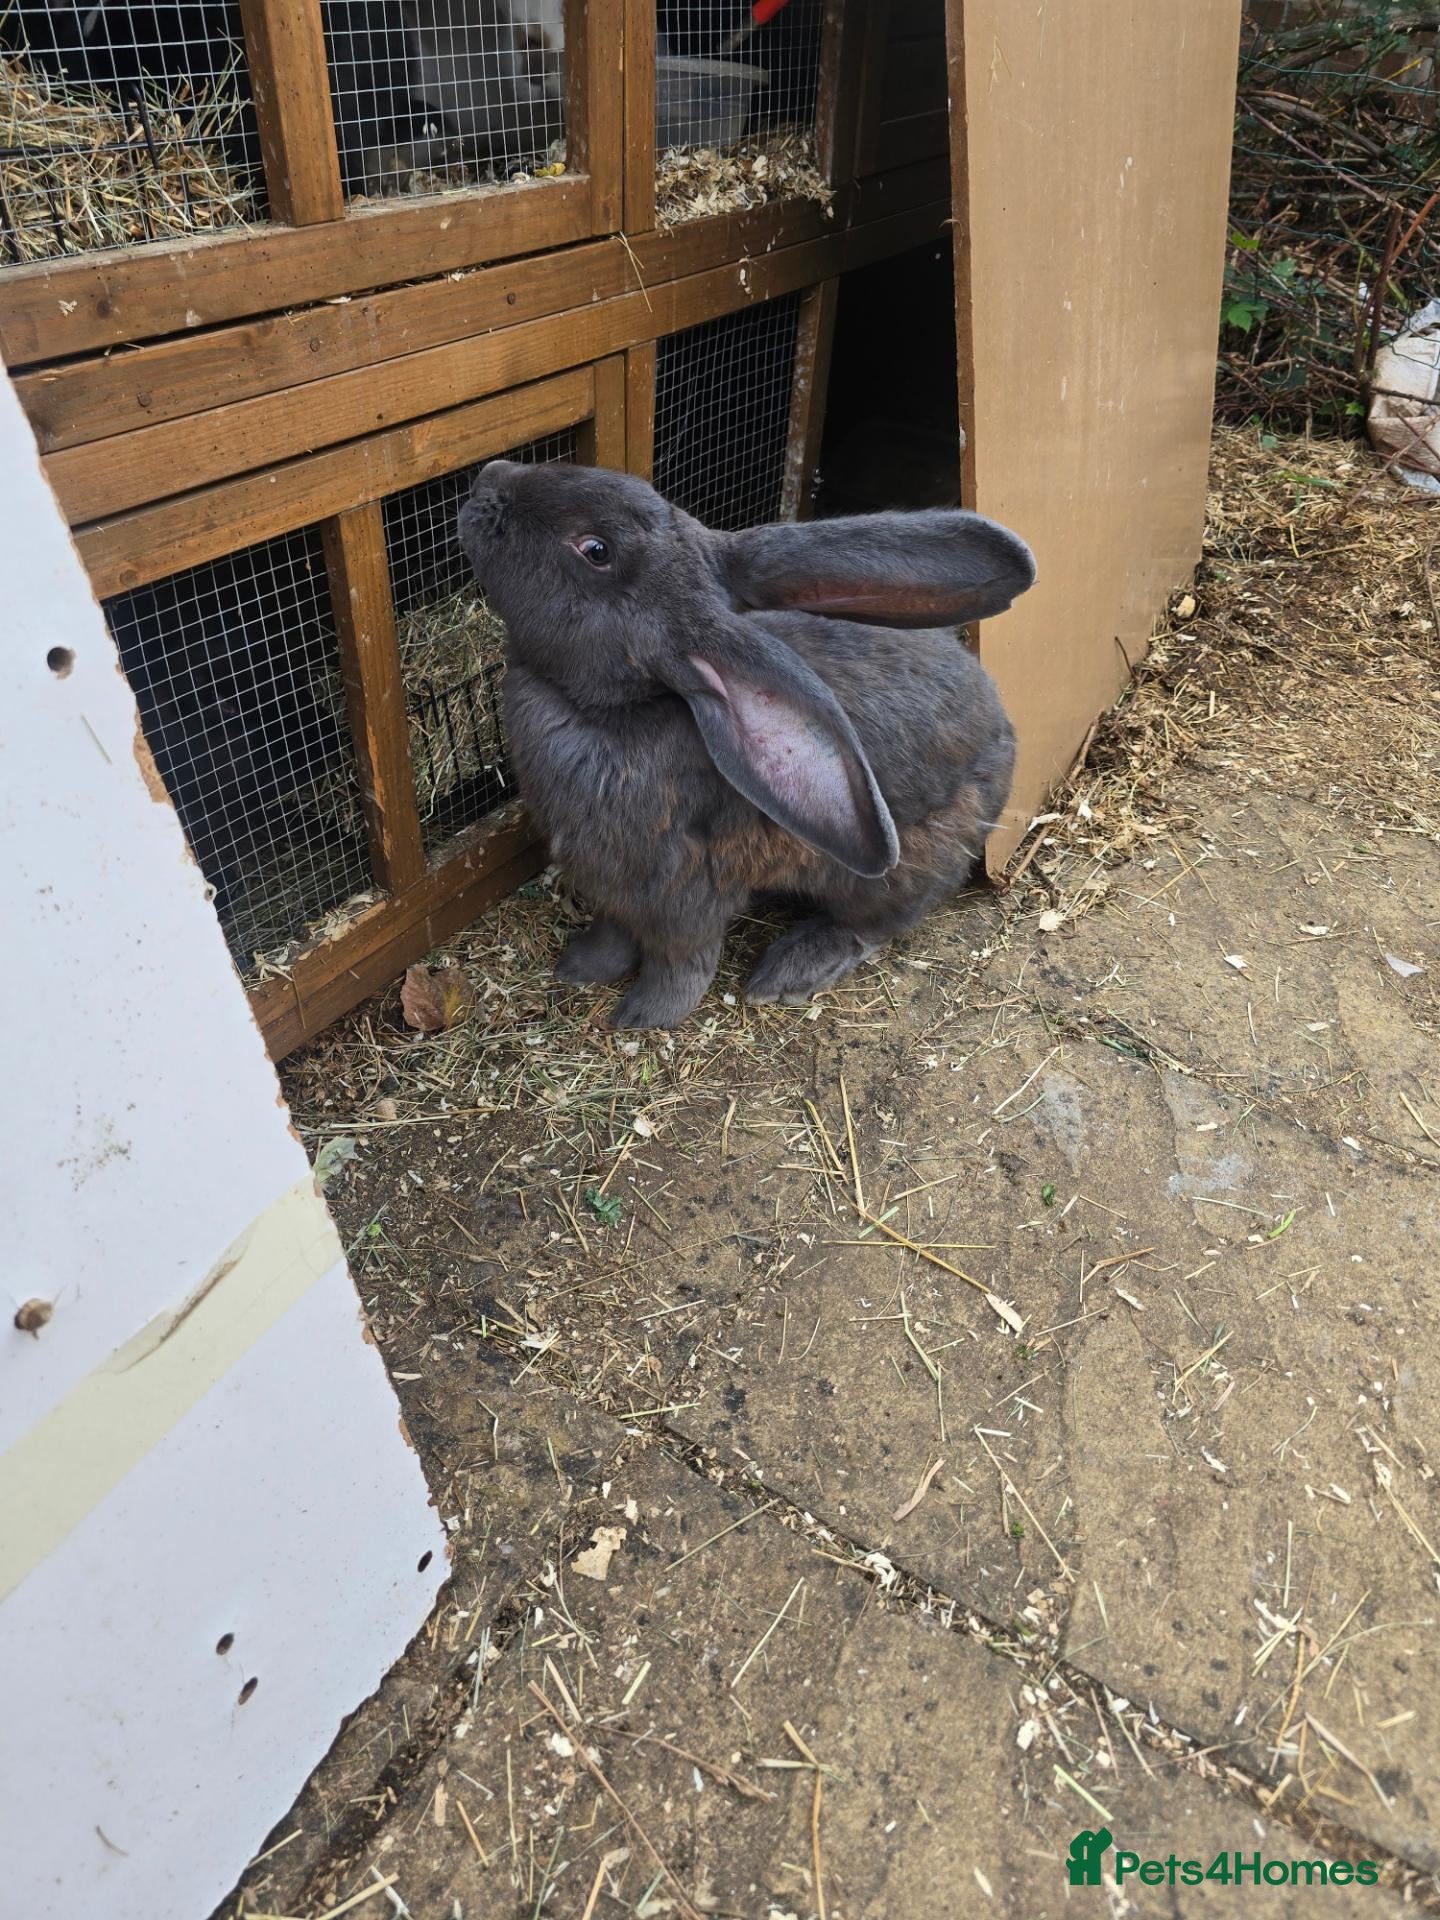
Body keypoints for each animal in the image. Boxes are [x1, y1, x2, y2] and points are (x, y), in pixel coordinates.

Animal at [457, 461, 1035, 1030]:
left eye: (595, 550)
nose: (488, 478)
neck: (622, 709)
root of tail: (1006, 744)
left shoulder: (678, 897)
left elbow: (680, 965)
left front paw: (641, 1018)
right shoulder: (612, 894)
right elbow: (612, 936)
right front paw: (577, 969)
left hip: (894, 874)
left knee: (876, 923)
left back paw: (790, 970)